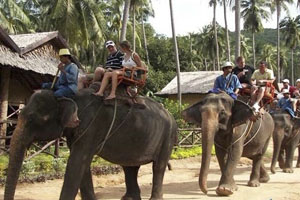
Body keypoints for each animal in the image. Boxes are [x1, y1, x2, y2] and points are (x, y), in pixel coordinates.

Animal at [4, 89, 177, 200]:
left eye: (32, 119)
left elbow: (76, 162)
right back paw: (129, 198)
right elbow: (82, 165)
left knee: (158, 167)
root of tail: (171, 115)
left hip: (167, 137)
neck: (68, 95)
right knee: (130, 167)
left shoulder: (91, 127)